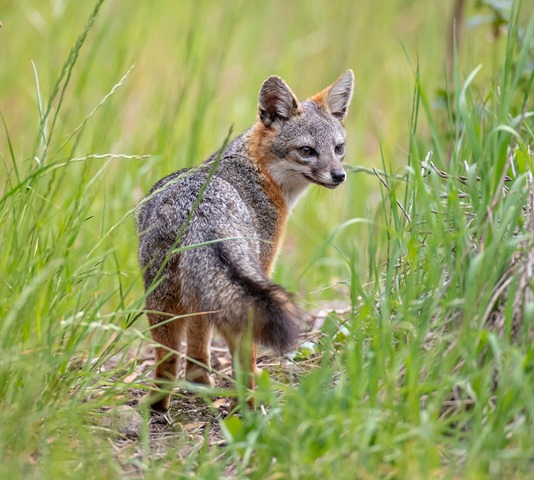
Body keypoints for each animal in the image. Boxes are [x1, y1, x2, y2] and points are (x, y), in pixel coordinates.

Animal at [137, 70, 354, 412]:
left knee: (167, 363)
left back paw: (159, 406)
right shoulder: (262, 265)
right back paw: (251, 407)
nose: (338, 175)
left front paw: (200, 384)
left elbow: (198, 344)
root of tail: (200, 209)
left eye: (338, 148)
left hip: (164, 299)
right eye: (307, 151)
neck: (255, 169)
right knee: (244, 359)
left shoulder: (200, 296)